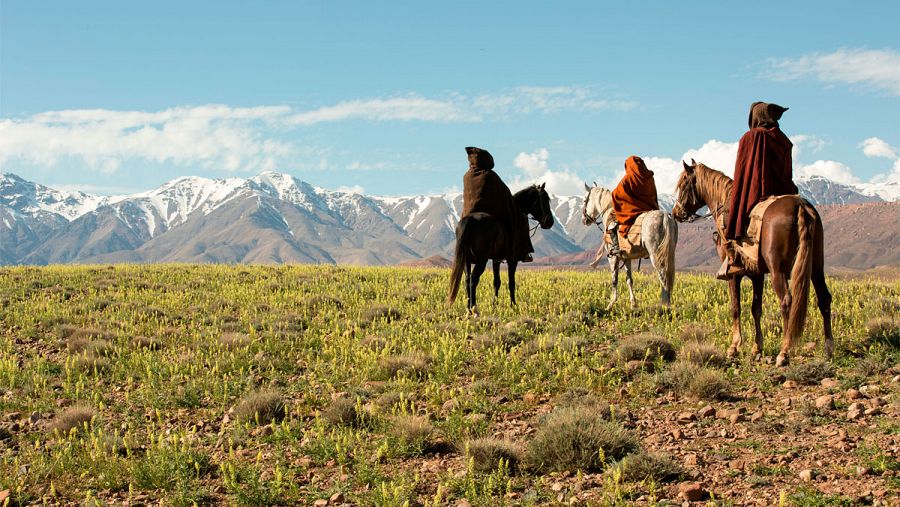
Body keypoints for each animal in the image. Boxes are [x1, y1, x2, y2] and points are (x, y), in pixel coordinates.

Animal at [450, 185, 556, 316]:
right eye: (545, 199)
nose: (550, 222)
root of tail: (469, 220)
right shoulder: (512, 260)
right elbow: (511, 283)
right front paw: (514, 306)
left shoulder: (496, 260)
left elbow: (497, 282)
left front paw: (495, 305)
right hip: (481, 260)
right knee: (473, 279)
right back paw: (474, 309)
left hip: (466, 260)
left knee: (467, 279)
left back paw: (468, 309)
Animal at [672, 161, 832, 368]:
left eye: (684, 184)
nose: (676, 213)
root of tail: (800, 206)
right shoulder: (757, 274)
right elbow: (756, 309)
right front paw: (757, 348)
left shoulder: (733, 274)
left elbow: (736, 308)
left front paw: (734, 347)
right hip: (816, 267)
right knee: (824, 298)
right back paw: (829, 348)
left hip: (778, 270)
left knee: (787, 301)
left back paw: (784, 353)